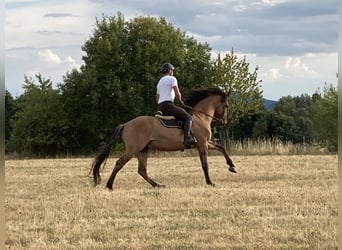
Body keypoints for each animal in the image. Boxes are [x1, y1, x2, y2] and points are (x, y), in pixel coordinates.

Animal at [89, 87, 236, 189]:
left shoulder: (206, 143)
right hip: (133, 150)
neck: (201, 117)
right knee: (119, 163)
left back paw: (157, 185)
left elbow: (221, 148)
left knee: (142, 170)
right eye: (226, 106)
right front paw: (210, 182)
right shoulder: (202, 145)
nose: (223, 121)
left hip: (143, 150)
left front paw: (232, 167)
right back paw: (109, 185)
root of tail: (125, 124)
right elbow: (205, 165)